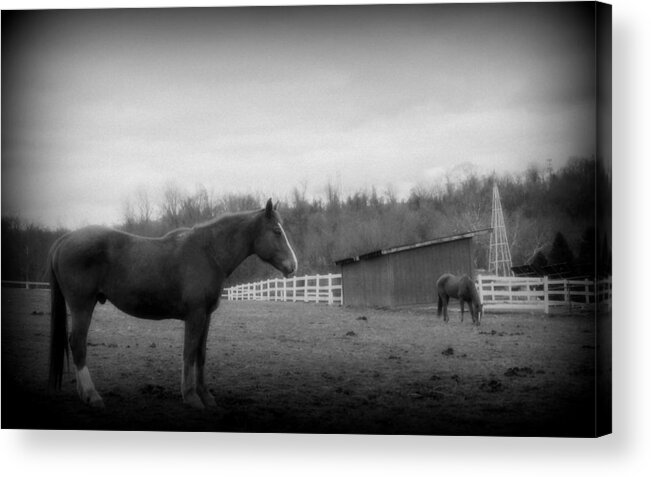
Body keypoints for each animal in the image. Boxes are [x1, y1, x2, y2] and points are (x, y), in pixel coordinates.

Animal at [47, 199, 298, 408]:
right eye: (277, 231)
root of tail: (65, 239)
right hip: (82, 305)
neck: (208, 253)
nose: (293, 265)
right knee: (78, 343)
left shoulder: (206, 315)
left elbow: (201, 354)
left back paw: (83, 394)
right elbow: (189, 352)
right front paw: (191, 397)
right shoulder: (195, 315)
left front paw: (206, 396)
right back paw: (92, 395)